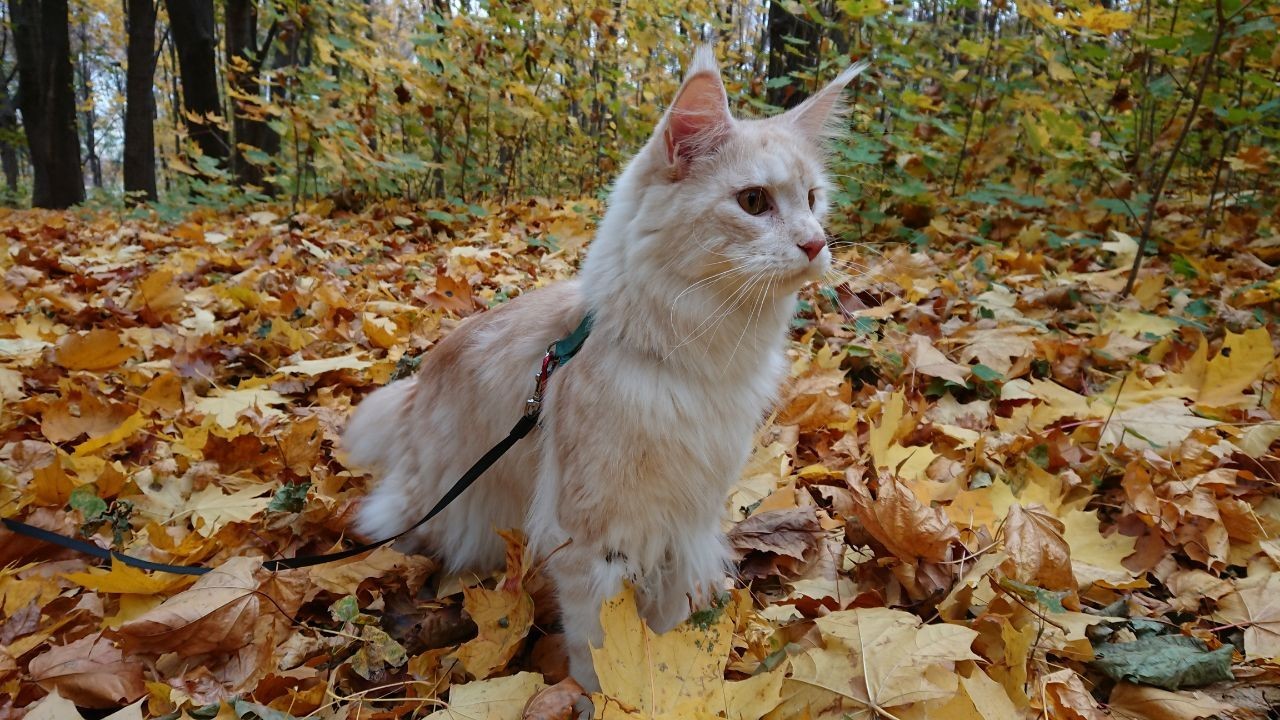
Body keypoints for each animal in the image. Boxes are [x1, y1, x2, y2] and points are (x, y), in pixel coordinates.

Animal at [348, 47, 870, 686]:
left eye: (814, 200)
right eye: (754, 202)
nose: (816, 244)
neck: (688, 367)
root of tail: (417, 386)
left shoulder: (684, 528)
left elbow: (665, 631)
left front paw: (663, 685)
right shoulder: (591, 541)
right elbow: (600, 649)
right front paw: (608, 696)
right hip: (438, 505)